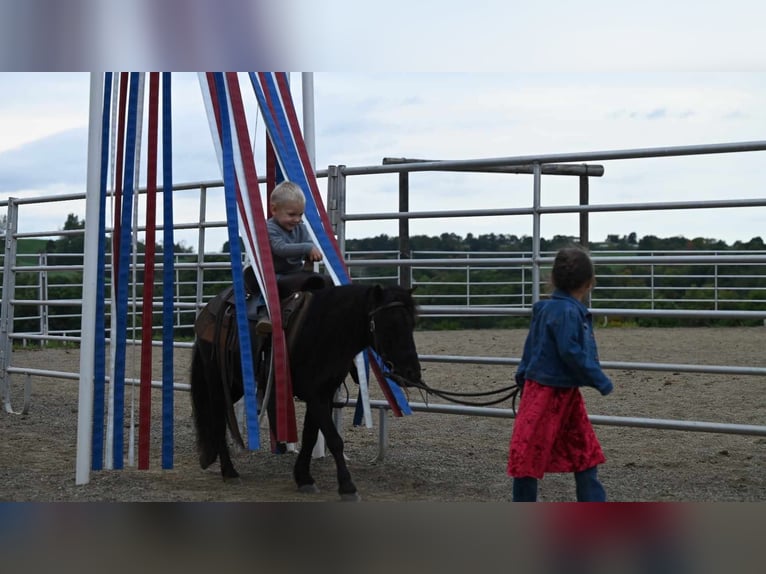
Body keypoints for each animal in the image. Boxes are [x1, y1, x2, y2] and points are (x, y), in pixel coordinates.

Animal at [189, 282, 424, 502]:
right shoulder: (315, 396)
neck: (324, 331)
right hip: (218, 382)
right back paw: (230, 472)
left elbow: (310, 436)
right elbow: (334, 440)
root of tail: (211, 307)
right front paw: (347, 486)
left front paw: (303, 478)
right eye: (389, 324)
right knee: (218, 421)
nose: (411, 372)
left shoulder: (324, 395)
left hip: (235, 385)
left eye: (412, 323)